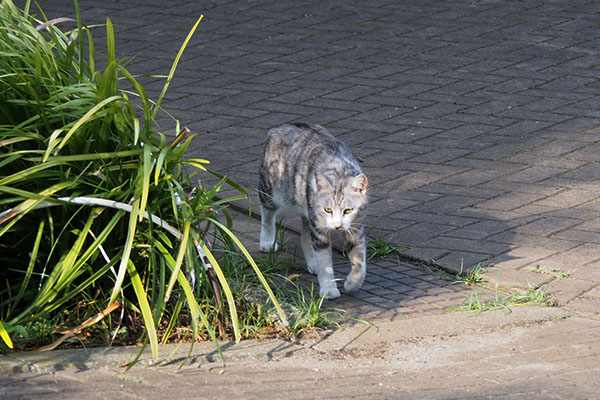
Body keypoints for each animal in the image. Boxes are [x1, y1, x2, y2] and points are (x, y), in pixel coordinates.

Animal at [258, 123, 368, 298]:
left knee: (305, 236)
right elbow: (324, 262)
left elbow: (359, 261)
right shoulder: (319, 229)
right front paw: (329, 289)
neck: (339, 170)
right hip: (272, 187)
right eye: (328, 209)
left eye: (348, 211)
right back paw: (267, 241)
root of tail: (280, 127)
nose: (337, 226)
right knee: (267, 212)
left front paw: (352, 283)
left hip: (307, 207)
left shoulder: (356, 228)